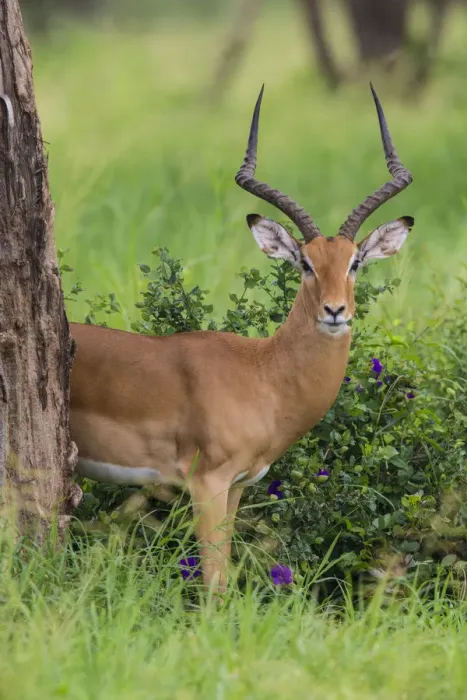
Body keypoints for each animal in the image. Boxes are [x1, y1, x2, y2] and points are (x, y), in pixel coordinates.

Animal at [70, 84, 414, 592]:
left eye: (355, 262)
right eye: (305, 262)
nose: (335, 310)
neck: (262, 373)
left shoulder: (237, 488)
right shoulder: (207, 483)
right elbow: (214, 583)